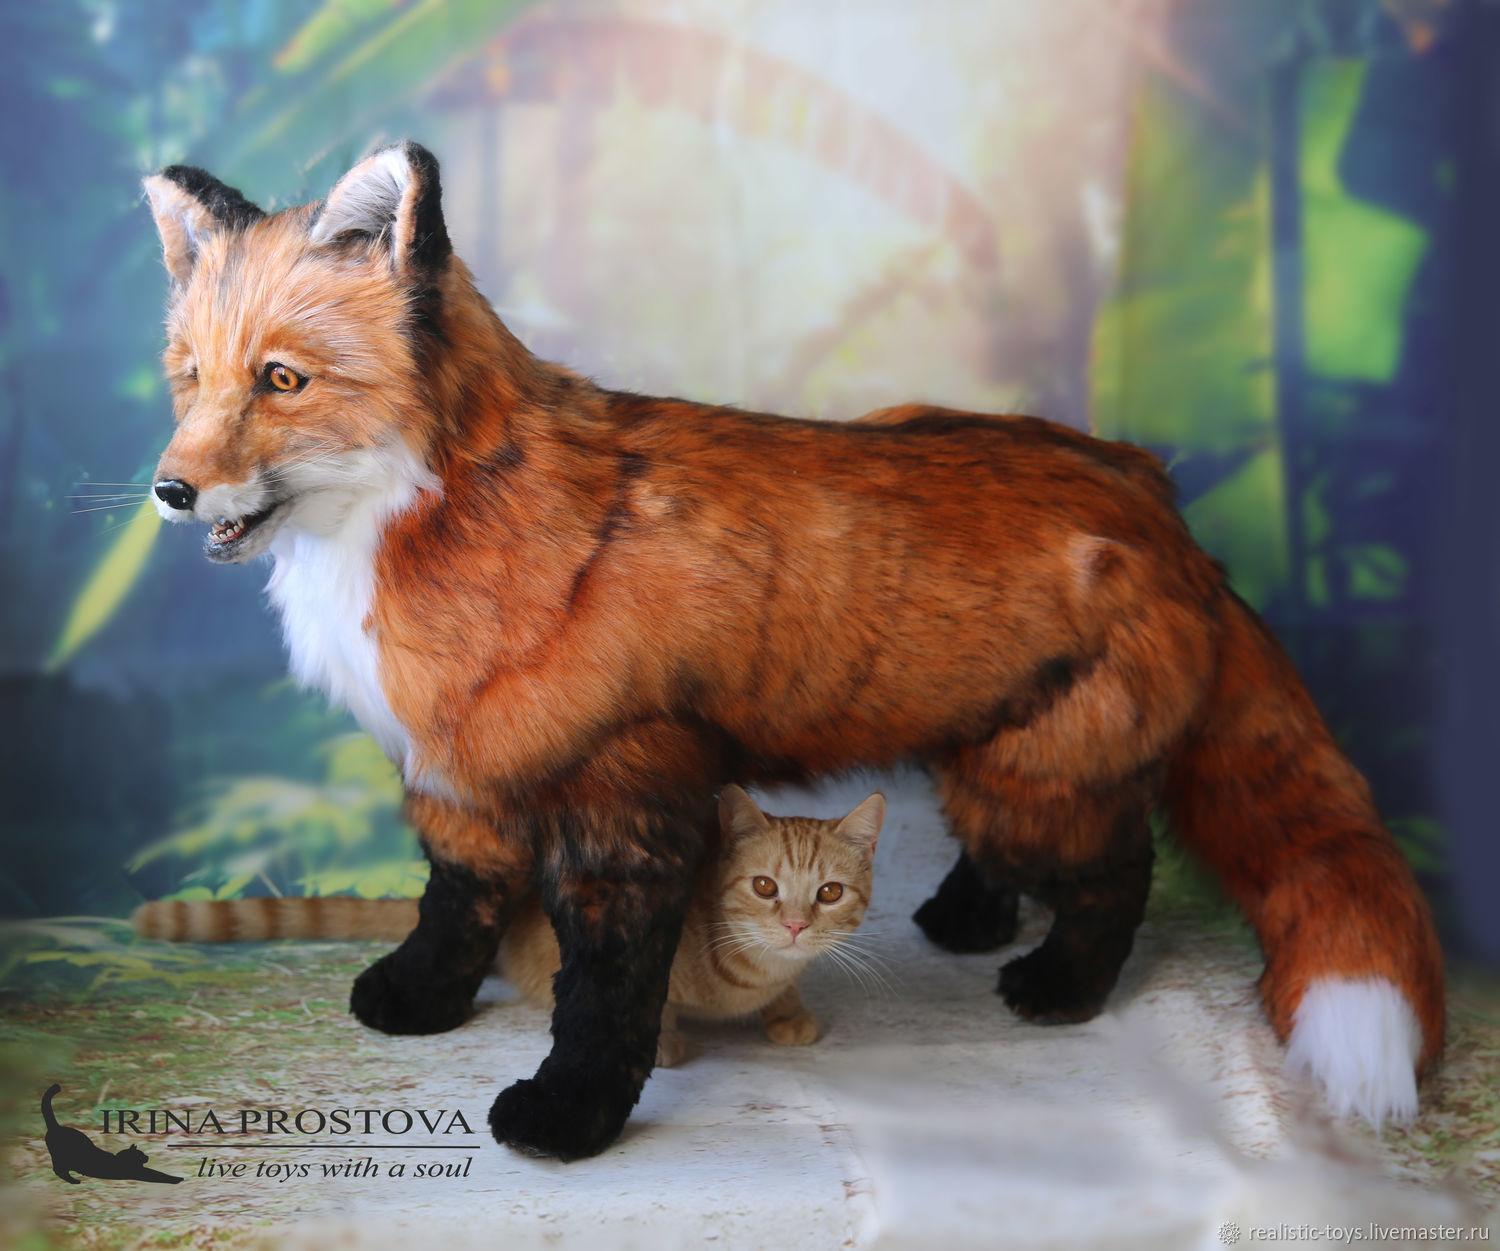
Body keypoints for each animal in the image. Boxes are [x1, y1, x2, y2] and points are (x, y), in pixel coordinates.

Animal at [140, 141, 1443, 1161]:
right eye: (191, 381)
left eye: (282, 379)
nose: (169, 489)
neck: (418, 523)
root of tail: (1153, 490)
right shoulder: (464, 772)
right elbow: (452, 909)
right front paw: (416, 1002)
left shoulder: (622, 793)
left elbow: (605, 991)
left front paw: (570, 1119)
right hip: (979, 754)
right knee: (1014, 850)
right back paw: (967, 917)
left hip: (1039, 781)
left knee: (1120, 868)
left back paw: (1059, 987)